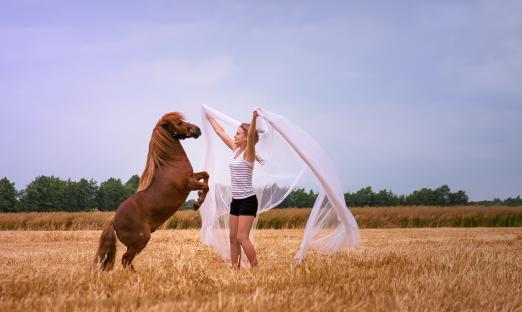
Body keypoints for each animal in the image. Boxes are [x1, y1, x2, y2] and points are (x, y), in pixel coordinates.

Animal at [92, 112, 208, 270]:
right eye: (178, 123)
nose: (197, 130)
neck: (171, 164)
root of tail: (114, 221)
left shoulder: (193, 176)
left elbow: (206, 175)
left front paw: (198, 198)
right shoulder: (188, 183)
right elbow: (206, 186)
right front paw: (197, 203)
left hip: (133, 244)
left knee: (126, 260)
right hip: (141, 240)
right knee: (125, 259)